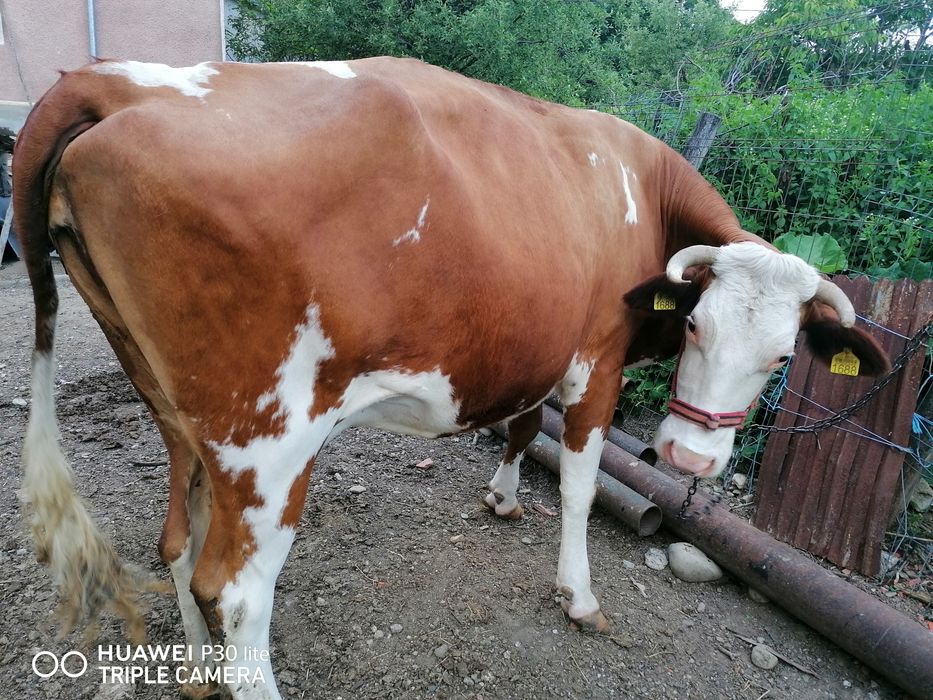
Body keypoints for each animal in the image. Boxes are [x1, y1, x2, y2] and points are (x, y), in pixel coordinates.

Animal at [14, 57, 888, 699]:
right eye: (697, 325)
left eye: (782, 357)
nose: (690, 461)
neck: (639, 187)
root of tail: (111, 79)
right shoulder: (595, 361)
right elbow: (578, 485)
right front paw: (578, 596)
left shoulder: (541, 350)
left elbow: (522, 423)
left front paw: (501, 497)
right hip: (266, 438)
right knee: (233, 589)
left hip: (173, 407)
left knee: (175, 538)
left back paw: (196, 673)